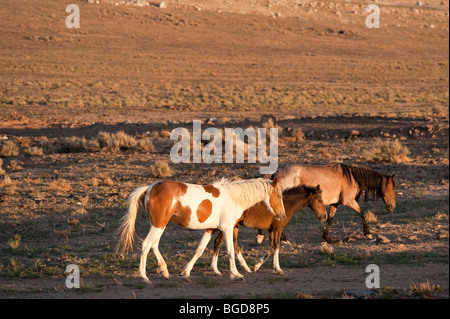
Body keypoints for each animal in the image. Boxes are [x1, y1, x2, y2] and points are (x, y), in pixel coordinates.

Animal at [116, 179, 284, 284]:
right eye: (278, 195)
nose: (282, 215)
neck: (233, 197)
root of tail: (149, 188)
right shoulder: (227, 228)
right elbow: (230, 250)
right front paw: (236, 274)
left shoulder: (210, 229)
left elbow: (200, 250)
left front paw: (186, 273)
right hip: (159, 224)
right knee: (146, 245)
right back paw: (145, 277)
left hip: (160, 225)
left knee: (154, 244)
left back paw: (164, 271)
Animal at [260, 164, 398, 244]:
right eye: (392, 187)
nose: (392, 207)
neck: (351, 178)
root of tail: (276, 174)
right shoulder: (349, 201)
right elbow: (362, 213)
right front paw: (368, 233)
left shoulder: (335, 204)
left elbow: (330, 220)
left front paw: (326, 238)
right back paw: (284, 240)